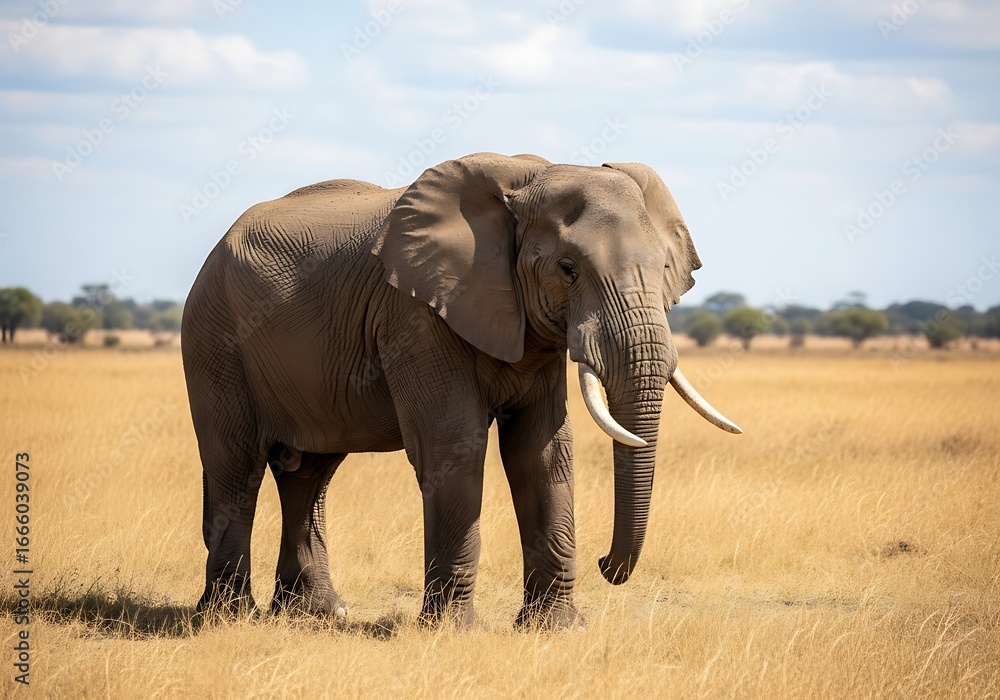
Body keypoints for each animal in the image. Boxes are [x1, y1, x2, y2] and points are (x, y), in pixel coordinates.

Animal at [181, 152, 740, 629]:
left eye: (665, 269)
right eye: (568, 269)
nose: (606, 563)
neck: (528, 179)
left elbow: (542, 451)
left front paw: (556, 630)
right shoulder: (415, 315)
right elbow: (454, 447)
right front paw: (455, 631)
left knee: (308, 474)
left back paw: (316, 614)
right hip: (214, 336)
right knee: (237, 464)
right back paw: (227, 620)